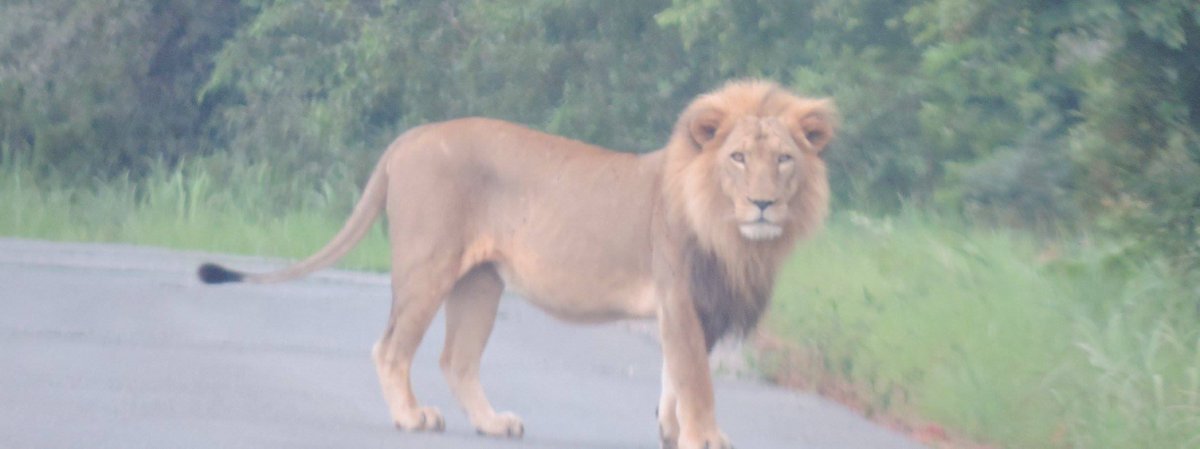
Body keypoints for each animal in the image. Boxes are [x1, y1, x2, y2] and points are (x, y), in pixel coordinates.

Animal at [197, 79, 836, 449]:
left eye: (783, 160)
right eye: (738, 158)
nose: (763, 203)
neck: (739, 237)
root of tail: (412, 136)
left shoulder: (690, 310)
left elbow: (675, 381)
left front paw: (672, 432)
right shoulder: (679, 296)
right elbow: (697, 382)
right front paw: (706, 437)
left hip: (480, 281)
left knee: (456, 358)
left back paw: (492, 423)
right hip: (428, 264)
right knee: (391, 347)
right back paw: (411, 417)